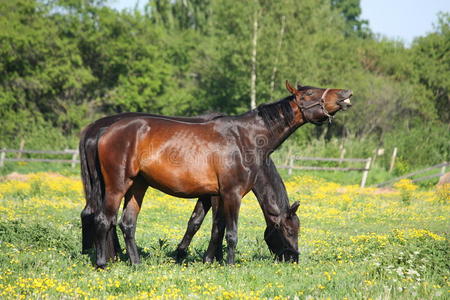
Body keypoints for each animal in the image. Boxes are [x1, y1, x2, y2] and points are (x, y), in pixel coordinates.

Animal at [80, 112, 298, 262]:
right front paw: (212, 257)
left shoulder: (206, 194)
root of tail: (94, 129)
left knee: (91, 214)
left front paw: (182, 253)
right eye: (289, 230)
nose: (294, 258)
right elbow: (216, 225)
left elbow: (195, 222)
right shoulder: (218, 195)